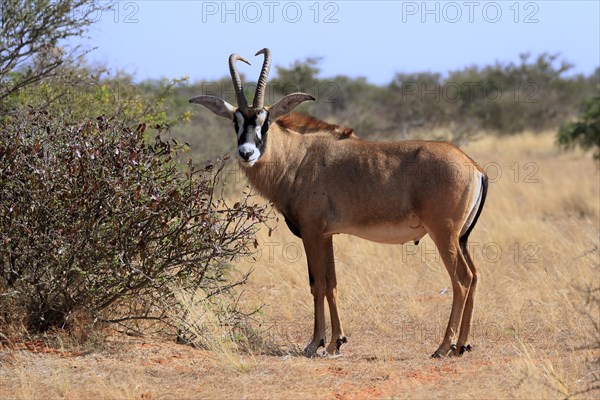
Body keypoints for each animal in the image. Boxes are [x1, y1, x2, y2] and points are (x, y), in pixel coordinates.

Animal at [190, 48, 490, 358]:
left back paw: (443, 347)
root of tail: (474, 167)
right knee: (475, 276)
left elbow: (317, 284)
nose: (246, 152)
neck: (297, 157)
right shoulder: (327, 235)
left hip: (444, 234)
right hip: (461, 238)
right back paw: (462, 344)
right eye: (235, 121)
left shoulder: (311, 232)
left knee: (462, 279)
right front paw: (336, 341)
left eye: (266, 121)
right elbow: (332, 284)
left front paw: (315, 343)